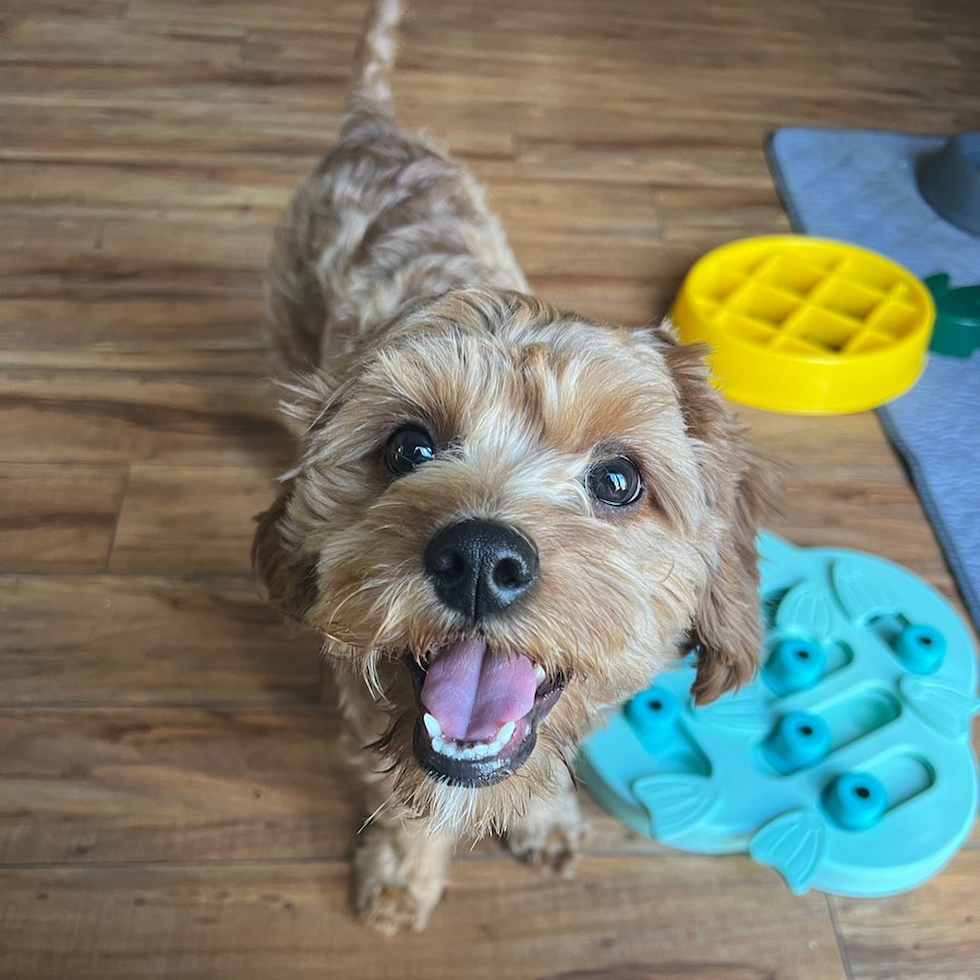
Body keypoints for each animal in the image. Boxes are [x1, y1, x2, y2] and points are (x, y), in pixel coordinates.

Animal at [253, 0, 772, 936]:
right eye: (408, 448)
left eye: (619, 480)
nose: (480, 561)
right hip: (287, 311)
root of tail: (373, 126)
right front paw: (402, 875)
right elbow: (406, 800)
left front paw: (545, 816)